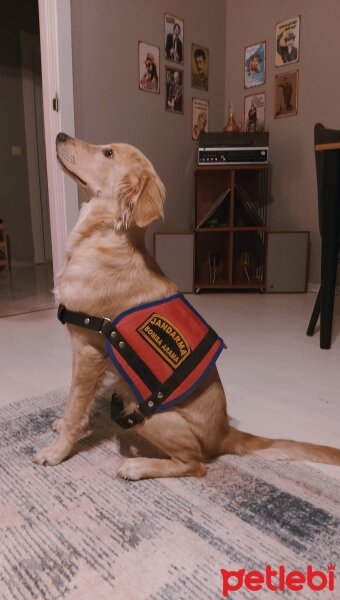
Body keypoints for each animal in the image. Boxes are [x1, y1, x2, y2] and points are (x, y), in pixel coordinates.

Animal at [33, 134, 340, 480]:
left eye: (108, 153)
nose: (60, 136)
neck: (104, 236)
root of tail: (225, 432)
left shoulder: (88, 350)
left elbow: (75, 406)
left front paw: (57, 451)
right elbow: (77, 402)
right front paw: (63, 426)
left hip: (147, 414)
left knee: (195, 465)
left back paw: (138, 465)